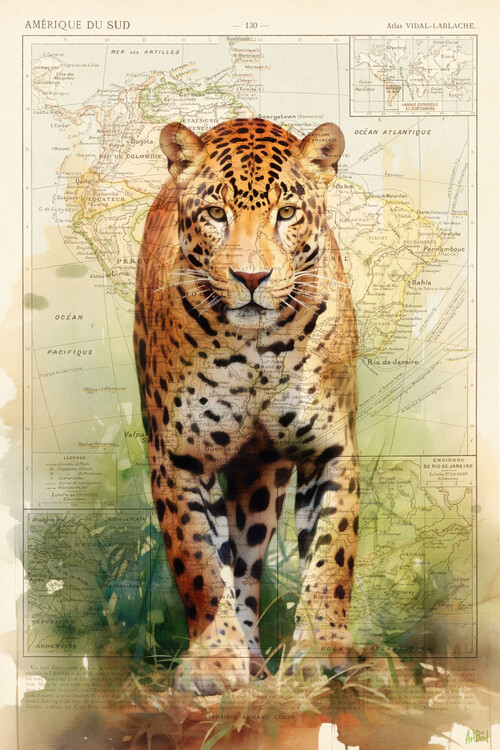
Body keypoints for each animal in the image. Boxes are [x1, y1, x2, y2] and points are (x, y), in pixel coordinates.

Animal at [134, 117, 360, 695]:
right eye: (217, 214)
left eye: (287, 213)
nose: (252, 280)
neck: (258, 349)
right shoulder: (177, 457)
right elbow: (199, 564)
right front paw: (214, 660)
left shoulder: (331, 449)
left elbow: (332, 558)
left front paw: (323, 653)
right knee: (232, 567)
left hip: (260, 481)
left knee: (249, 560)